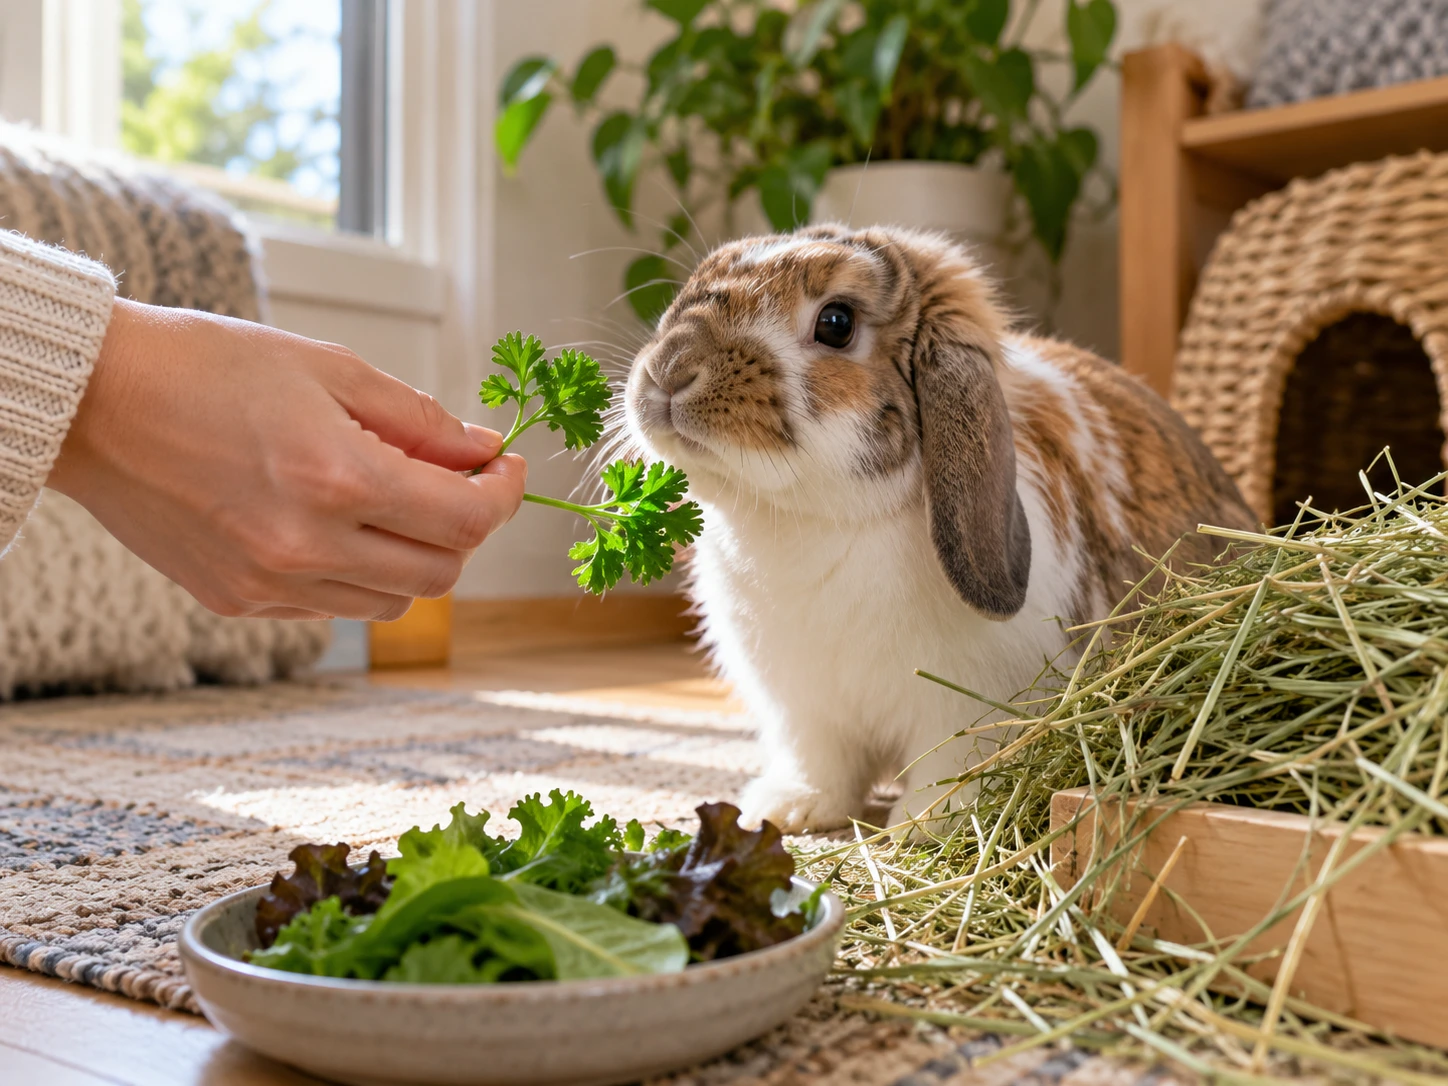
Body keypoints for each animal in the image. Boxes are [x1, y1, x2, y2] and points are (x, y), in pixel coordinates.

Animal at [621, 223, 1257, 834]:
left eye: (836, 322)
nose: (670, 370)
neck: (811, 520)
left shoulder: (967, 709)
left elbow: (952, 767)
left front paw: (922, 826)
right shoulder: (805, 712)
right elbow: (821, 765)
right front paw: (787, 812)